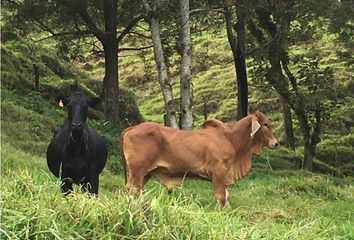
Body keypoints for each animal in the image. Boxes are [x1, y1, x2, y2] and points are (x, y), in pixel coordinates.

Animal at [120, 110, 278, 206]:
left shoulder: (225, 175)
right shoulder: (218, 171)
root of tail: (133, 128)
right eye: (265, 124)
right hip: (138, 171)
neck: (231, 138)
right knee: (133, 190)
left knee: (134, 190)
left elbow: (227, 196)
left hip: (145, 173)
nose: (276, 143)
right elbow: (221, 196)